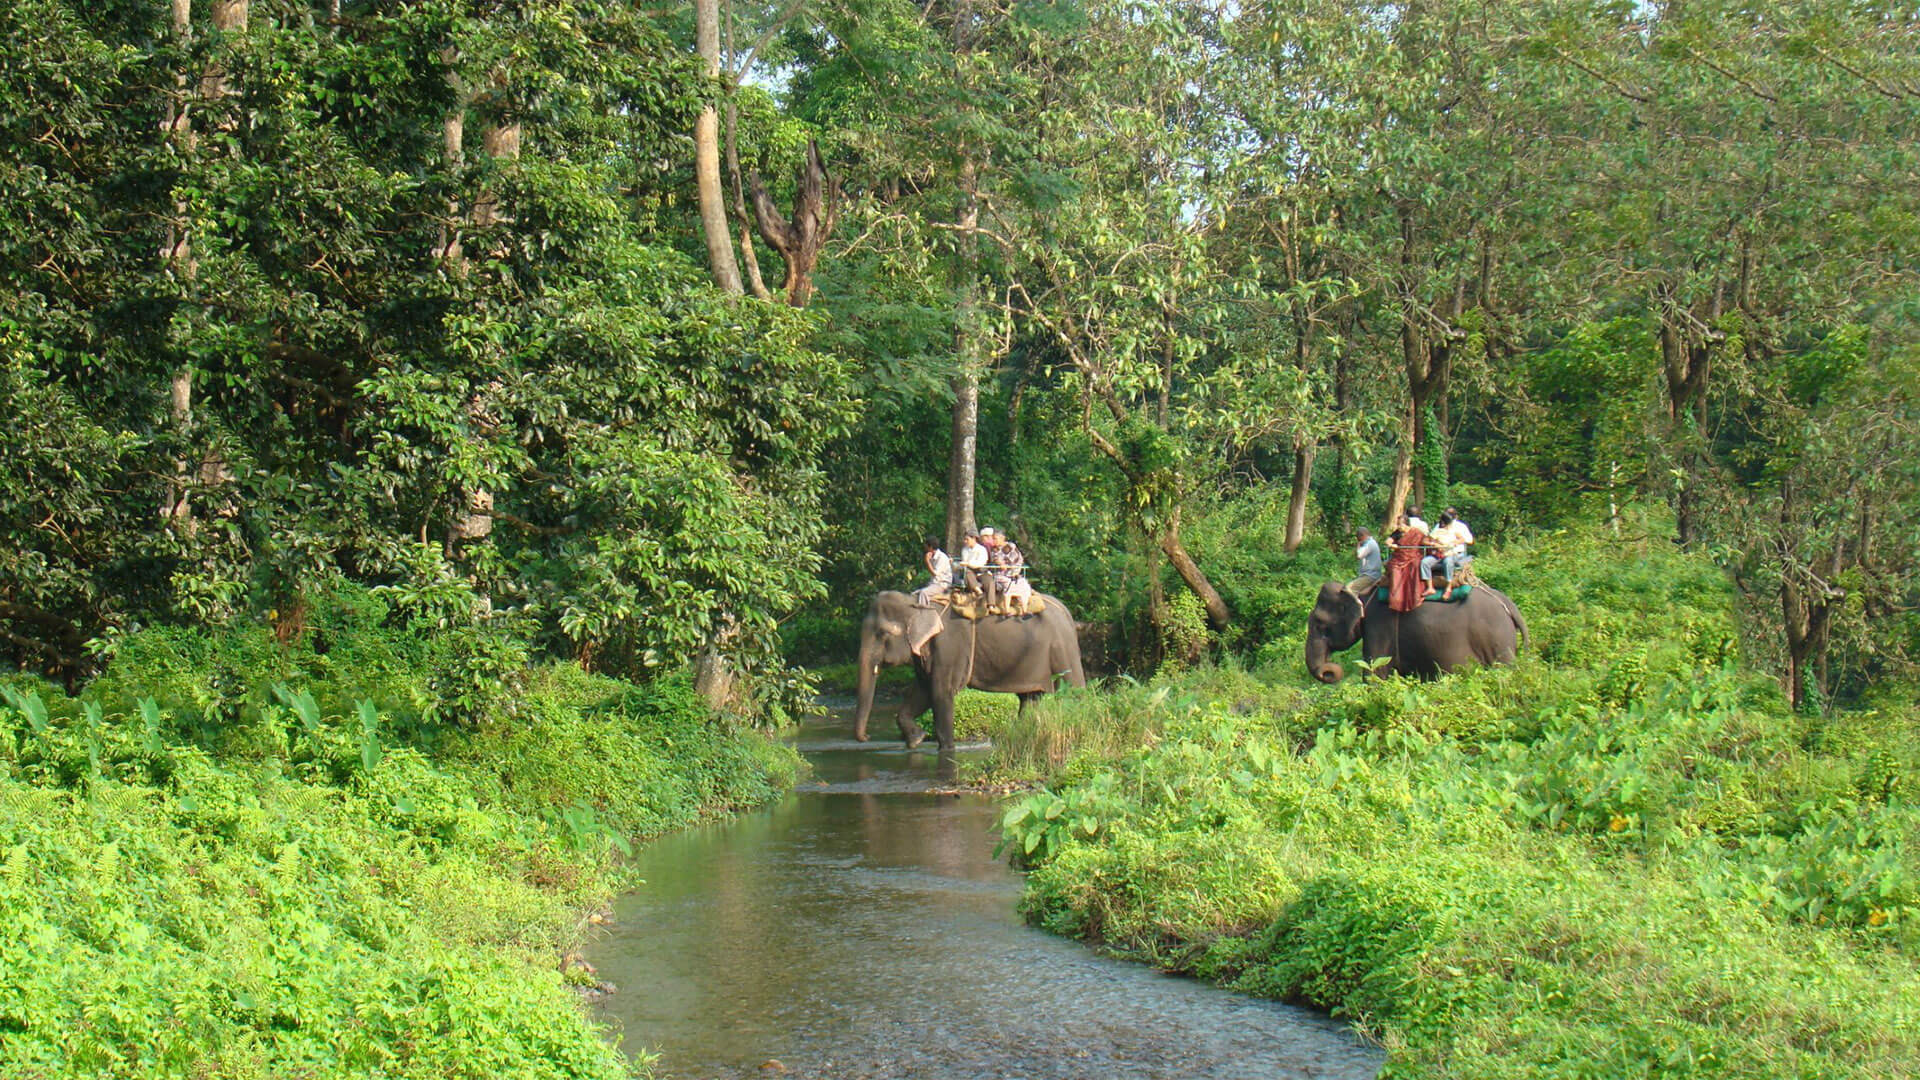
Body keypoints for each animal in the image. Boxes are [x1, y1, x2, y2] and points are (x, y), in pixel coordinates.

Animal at [852, 588, 1090, 749]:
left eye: (882, 634)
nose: (867, 737)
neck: (917, 604)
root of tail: (1067, 613)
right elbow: (922, 691)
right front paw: (916, 740)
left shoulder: (949, 647)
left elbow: (941, 693)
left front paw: (946, 750)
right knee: (1029, 700)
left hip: (1063, 651)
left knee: (1074, 693)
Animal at [1305, 580, 1528, 680]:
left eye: (1319, 623)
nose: (1328, 670)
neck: (1360, 592)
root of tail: (1508, 605)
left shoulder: (1379, 626)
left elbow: (1375, 673)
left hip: (1498, 641)